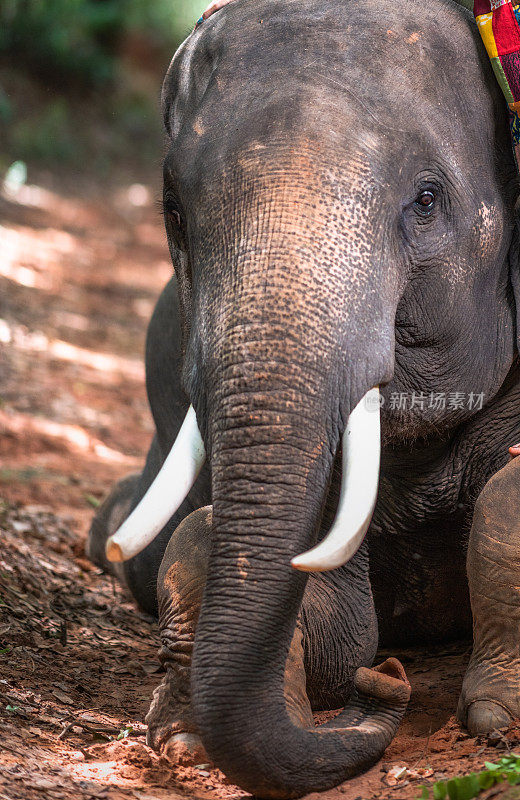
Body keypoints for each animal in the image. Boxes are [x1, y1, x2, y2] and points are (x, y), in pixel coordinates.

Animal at [86, 0, 520, 796]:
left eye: (427, 200)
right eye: (173, 211)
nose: (390, 681)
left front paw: (495, 720)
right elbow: (333, 622)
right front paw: (185, 739)